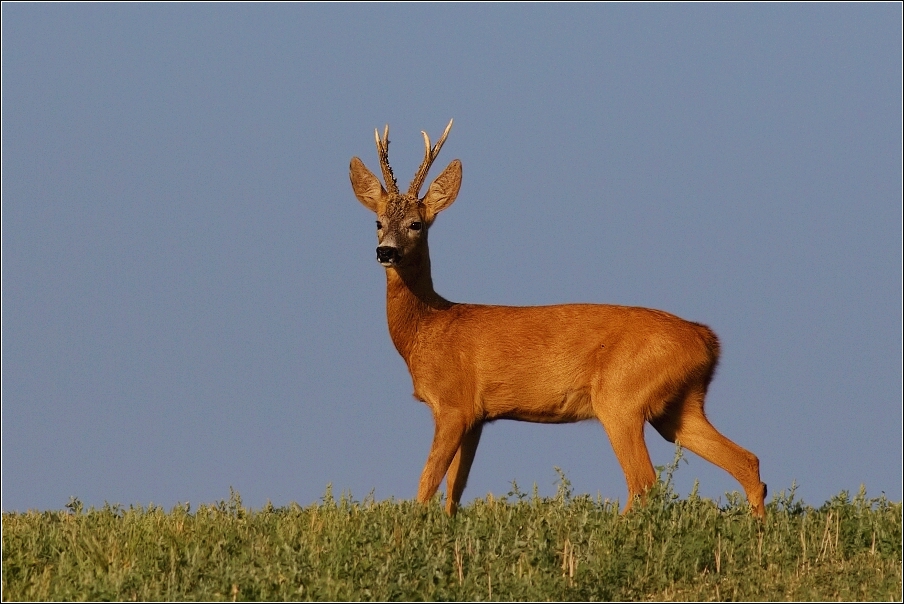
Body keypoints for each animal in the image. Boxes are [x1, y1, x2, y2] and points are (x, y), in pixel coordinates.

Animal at [350, 120, 768, 516]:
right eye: (378, 222)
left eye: (416, 224)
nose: (385, 252)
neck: (429, 328)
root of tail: (707, 339)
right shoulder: (478, 415)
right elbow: (455, 488)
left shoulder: (454, 404)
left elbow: (427, 483)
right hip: (681, 405)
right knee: (747, 461)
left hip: (621, 397)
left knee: (645, 482)